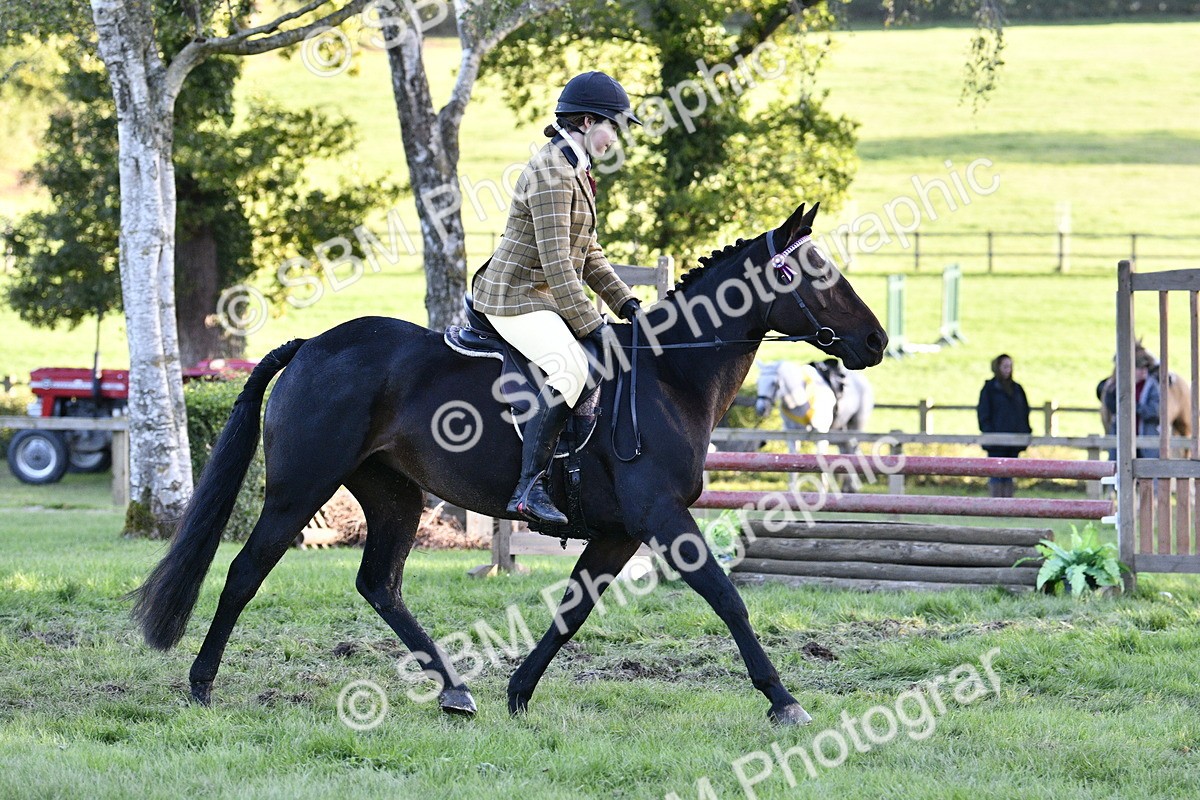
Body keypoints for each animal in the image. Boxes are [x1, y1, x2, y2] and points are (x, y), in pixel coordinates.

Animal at [130, 202, 887, 726]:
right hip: (300, 489)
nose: (876, 342)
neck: (668, 376)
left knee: (380, 584)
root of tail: (313, 344)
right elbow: (727, 597)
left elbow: (573, 610)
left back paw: (455, 690)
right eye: (815, 274)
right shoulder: (662, 517)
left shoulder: (619, 532)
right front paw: (783, 699)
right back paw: (201, 682)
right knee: (244, 573)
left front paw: (520, 692)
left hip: (394, 494)